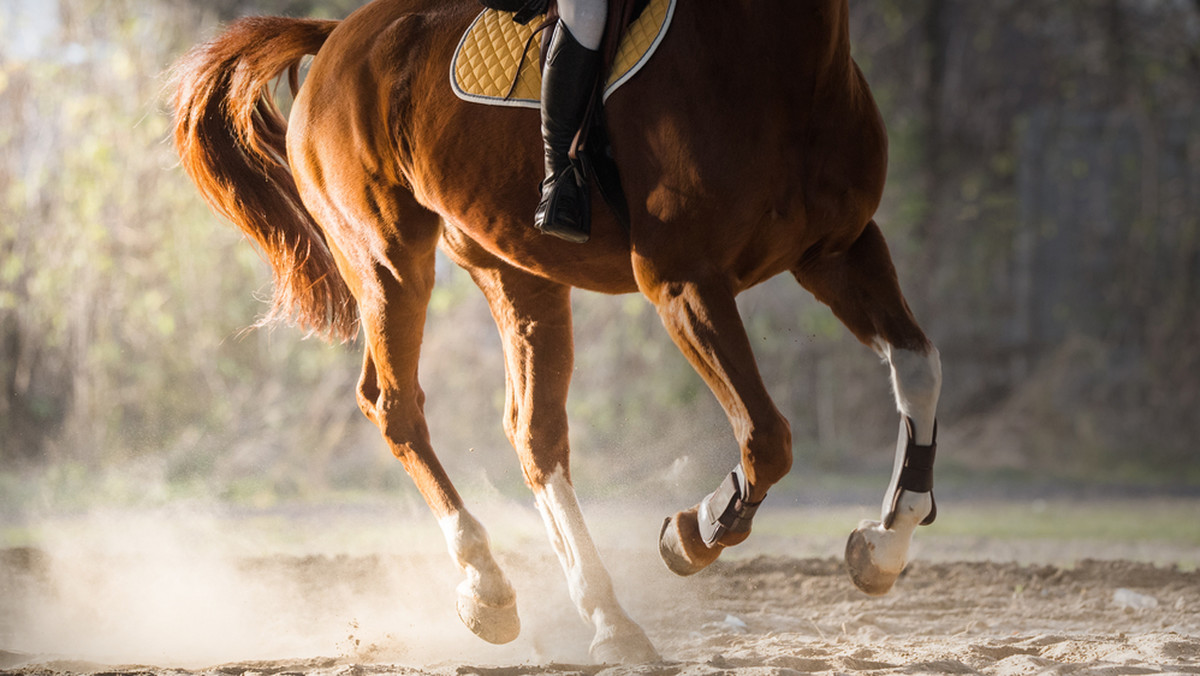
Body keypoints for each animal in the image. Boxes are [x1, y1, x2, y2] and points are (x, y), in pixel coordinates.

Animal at [171, 0, 936, 667]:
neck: (780, 58)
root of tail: (336, 36)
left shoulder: (840, 252)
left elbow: (919, 367)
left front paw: (883, 545)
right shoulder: (684, 283)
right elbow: (766, 436)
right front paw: (695, 532)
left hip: (516, 271)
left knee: (533, 435)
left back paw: (608, 621)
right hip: (387, 258)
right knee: (397, 408)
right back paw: (488, 587)